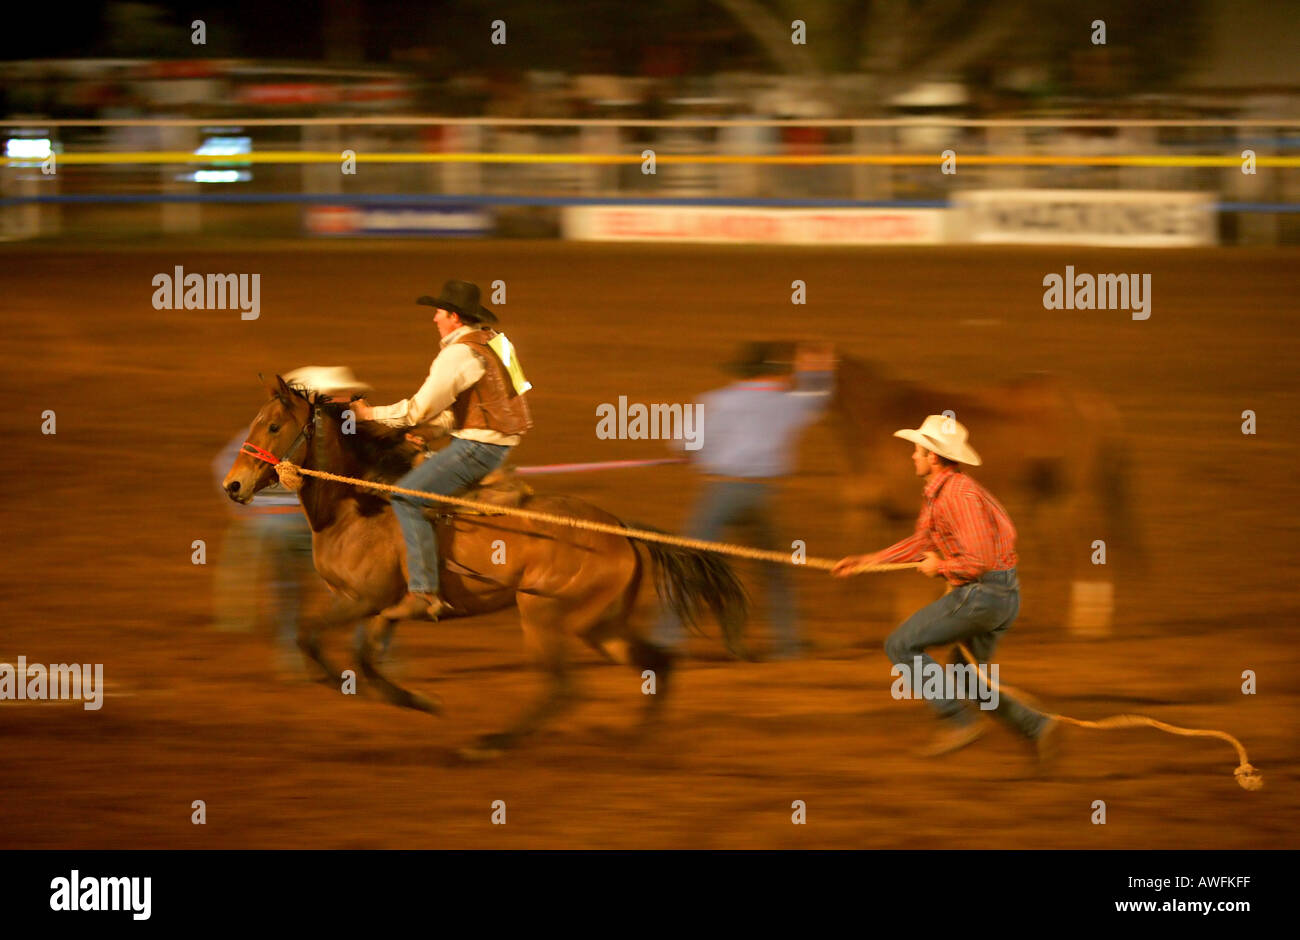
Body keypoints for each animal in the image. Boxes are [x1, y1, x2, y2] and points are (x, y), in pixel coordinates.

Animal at [222, 374, 748, 759]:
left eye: (273, 426)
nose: (233, 485)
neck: (360, 504)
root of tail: (619, 529)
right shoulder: (381, 608)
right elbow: (364, 656)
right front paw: (412, 699)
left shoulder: (364, 600)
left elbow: (312, 637)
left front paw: (392, 695)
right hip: (600, 624)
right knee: (656, 663)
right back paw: (637, 743)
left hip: (544, 615)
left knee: (563, 687)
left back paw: (491, 744)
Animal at [832, 356, 1138, 637]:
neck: (877, 418)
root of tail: (1093, 403)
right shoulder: (868, 509)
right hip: (1047, 501)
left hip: (1070, 496)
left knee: (1081, 550)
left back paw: (1080, 624)